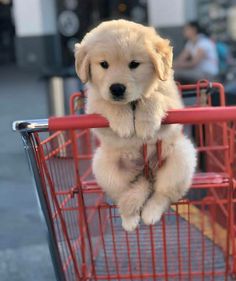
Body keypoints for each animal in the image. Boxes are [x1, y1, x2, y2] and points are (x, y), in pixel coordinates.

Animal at [74, 19, 196, 230]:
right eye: (103, 64)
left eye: (134, 64)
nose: (116, 88)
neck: (131, 103)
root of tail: (146, 173)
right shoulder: (93, 106)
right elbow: (108, 103)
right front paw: (124, 124)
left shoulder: (174, 105)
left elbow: (153, 97)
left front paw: (145, 124)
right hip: (104, 167)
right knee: (123, 195)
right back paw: (129, 219)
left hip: (181, 157)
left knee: (162, 194)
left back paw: (150, 213)